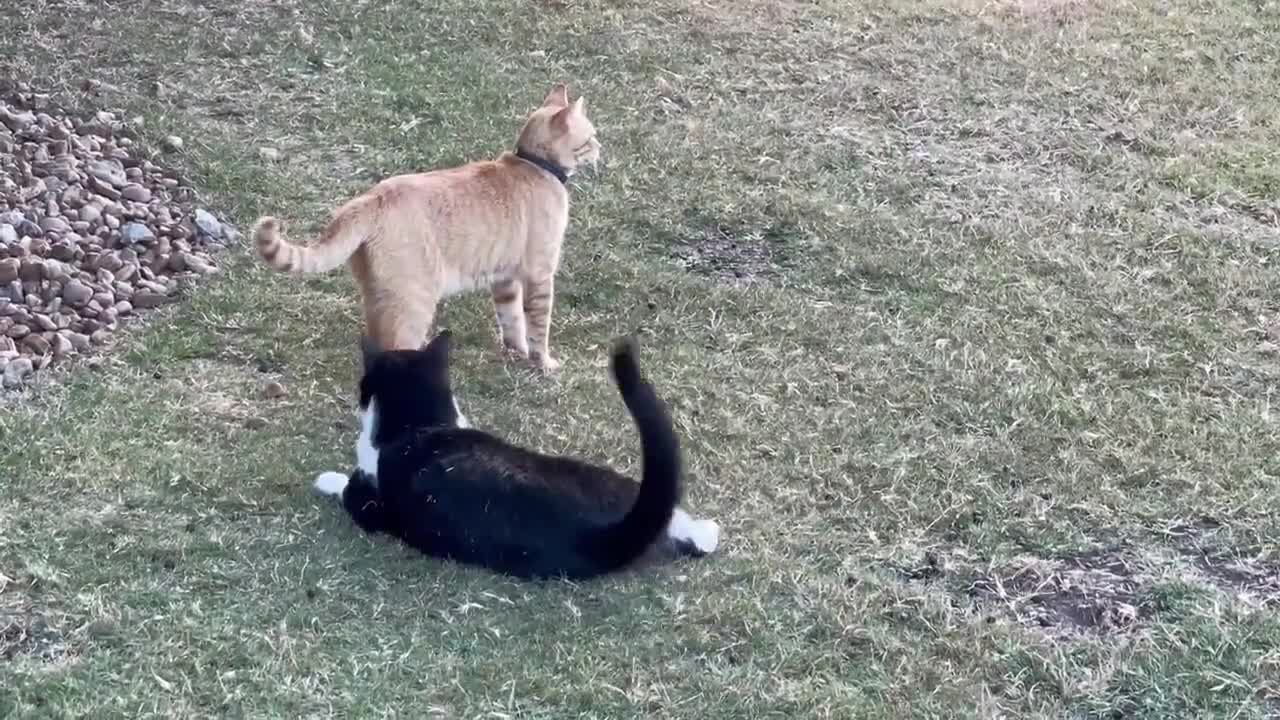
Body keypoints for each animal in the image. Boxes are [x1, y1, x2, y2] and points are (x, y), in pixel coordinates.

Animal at [257, 83, 606, 368]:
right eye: (590, 139)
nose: (601, 149)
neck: (535, 165)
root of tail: (372, 197)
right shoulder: (540, 273)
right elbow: (537, 327)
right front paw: (543, 363)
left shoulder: (505, 278)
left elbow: (512, 321)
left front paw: (516, 352)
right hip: (415, 302)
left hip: (378, 298)